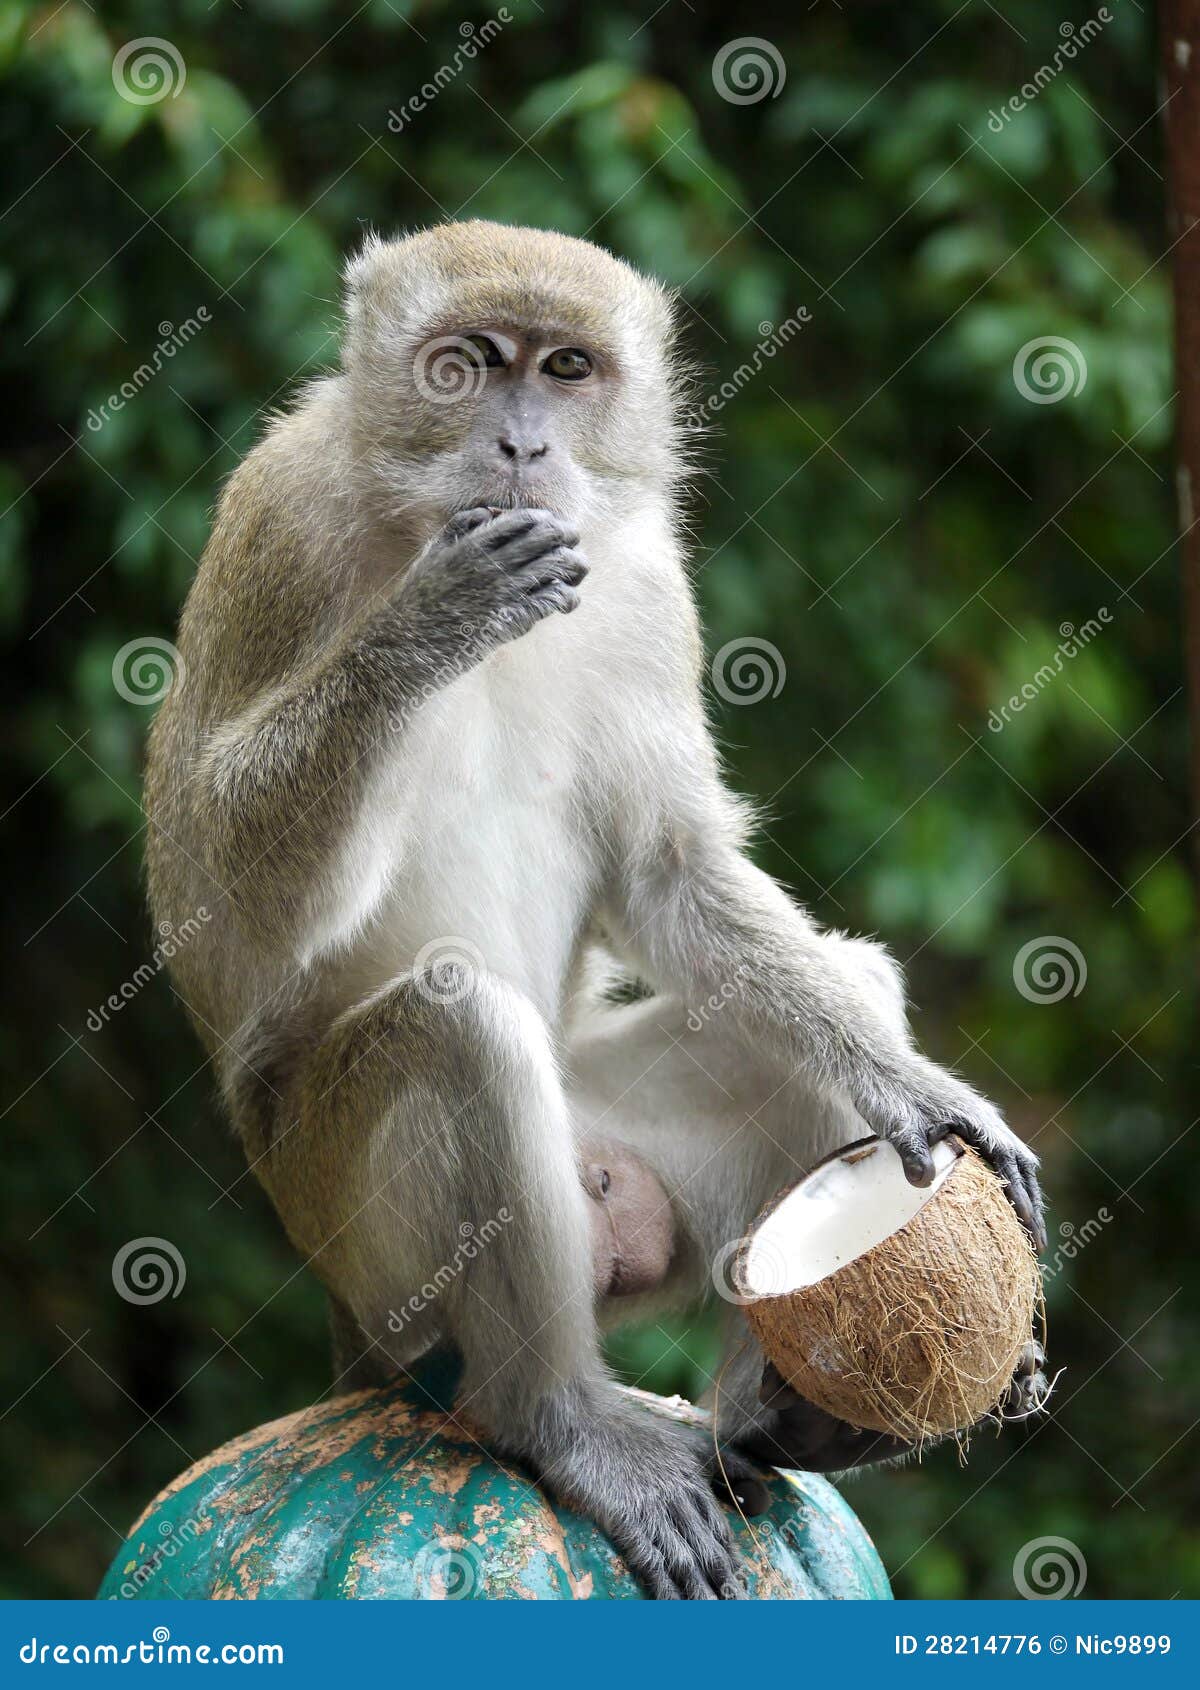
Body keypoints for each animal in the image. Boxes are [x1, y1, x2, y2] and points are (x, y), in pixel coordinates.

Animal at [145, 220, 1046, 1600]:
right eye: (464, 365)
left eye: (566, 368)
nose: (522, 445)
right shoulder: (276, 525)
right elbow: (219, 895)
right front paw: (433, 620)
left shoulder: (647, 583)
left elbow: (670, 870)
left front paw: (921, 1095)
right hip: (367, 1251)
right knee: (460, 1028)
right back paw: (558, 1421)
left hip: (623, 1175)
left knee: (827, 990)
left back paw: (785, 1414)